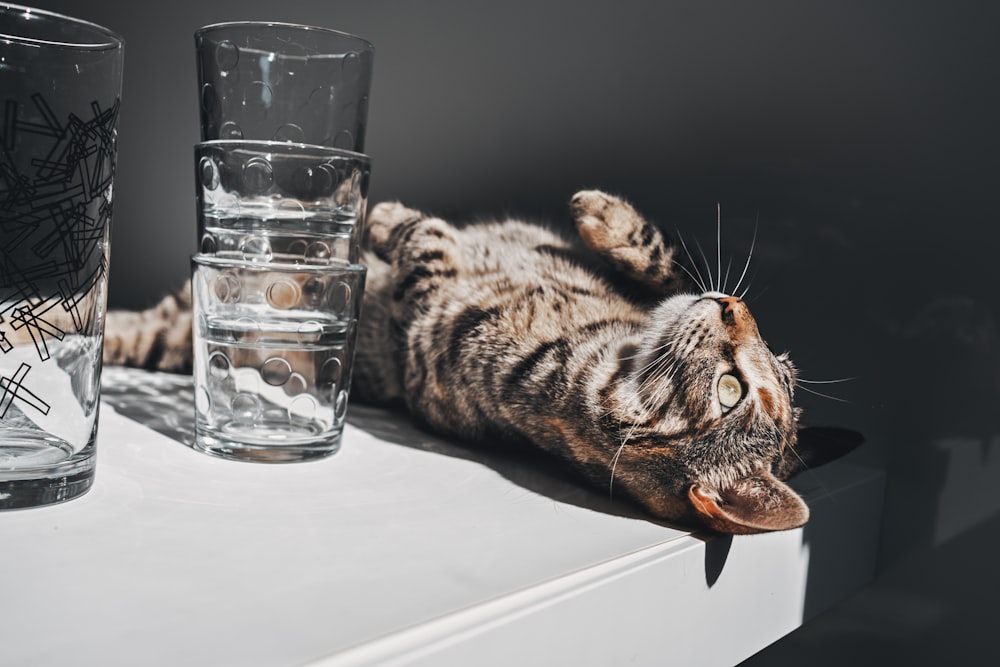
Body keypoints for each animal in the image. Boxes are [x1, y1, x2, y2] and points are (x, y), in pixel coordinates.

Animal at [101, 190, 860, 536]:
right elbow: (660, 258)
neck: (599, 343)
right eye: (770, 360)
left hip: (197, 338)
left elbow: (427, 244)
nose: (736, 305)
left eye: (733, 390)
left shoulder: (426, 329)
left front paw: (383, 218)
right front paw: (604, 215)